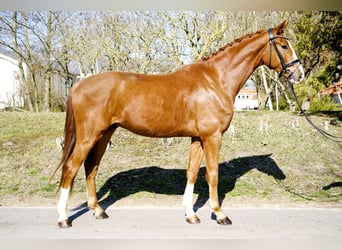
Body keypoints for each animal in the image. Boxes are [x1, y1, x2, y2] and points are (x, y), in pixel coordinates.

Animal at [54, 20, 304, 228]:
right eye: (283, 46)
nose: (299, 74)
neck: (215, 80)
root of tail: (79, 84)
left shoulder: (198, 138)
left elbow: (192, 172)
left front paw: (190, 214)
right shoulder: (212, 136)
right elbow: (212, 173)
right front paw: (219, 214)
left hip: (104, 134)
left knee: (91, 168)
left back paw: (97, 210)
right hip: (89, 136)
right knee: (71, 167)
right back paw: (63, 218)